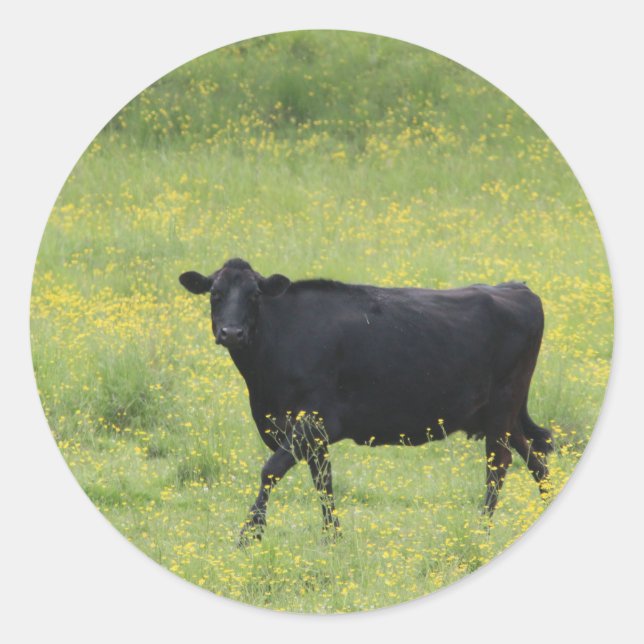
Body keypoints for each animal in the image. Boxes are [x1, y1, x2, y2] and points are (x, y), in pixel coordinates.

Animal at [179, 258, 553, 546]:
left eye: (254, 295)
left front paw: (249, 535)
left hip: (503, 407)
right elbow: (323, 481)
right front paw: (333, 537)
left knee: (499, 464)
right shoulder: (312, 434)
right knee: (535, 458)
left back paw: (481, 528)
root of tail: (515, 287)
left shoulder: (313, 419)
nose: (231, 333)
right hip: (499, 414)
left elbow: (270, 470)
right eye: (215, 293)